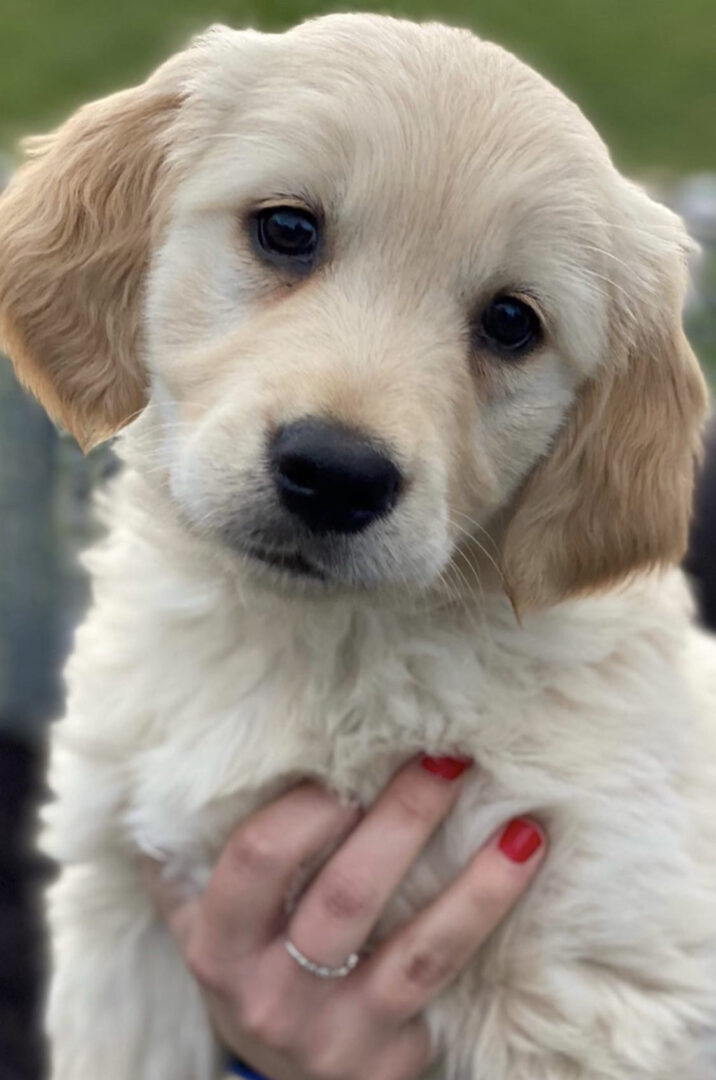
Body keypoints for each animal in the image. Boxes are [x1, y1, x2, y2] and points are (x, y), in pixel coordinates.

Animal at [1, 10, 716, 1080]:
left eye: (513, 323)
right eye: (288, 230)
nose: (336, 474)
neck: (324, 648)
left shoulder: (594, 984)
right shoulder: (123, 911)